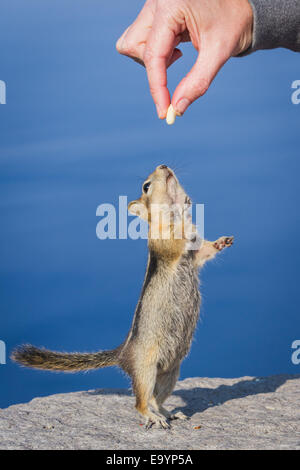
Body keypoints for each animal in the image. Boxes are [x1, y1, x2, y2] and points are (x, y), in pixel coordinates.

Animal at [11, 165, 233, 430]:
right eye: (146, 186)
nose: (162, 165)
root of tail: (122, 354)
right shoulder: (164, 243)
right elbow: (175, 240)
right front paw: (186, 222)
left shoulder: (196, 254)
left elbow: (205, 250)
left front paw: (221, 240)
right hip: (146, 369)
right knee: (140, 402)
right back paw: (154, 418)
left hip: (170, 373)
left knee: (156, 399)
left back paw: (168, 413)